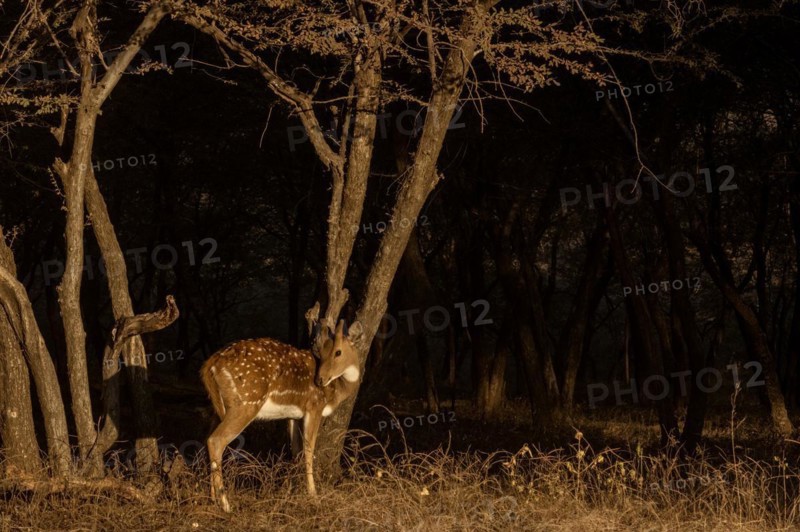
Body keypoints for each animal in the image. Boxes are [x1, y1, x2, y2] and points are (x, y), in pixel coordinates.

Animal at [199, 316, 363, 512]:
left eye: (337, 352)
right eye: (322, 353)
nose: (320, 379)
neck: (336, 390)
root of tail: (210, 365)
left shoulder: (294, 415)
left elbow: (296, 450)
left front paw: (289, 491)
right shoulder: (314, 406)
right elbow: (309, 450)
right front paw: (313, 495)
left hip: (219, 407)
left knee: (207, 438)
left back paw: (212, 498)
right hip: (246, 402)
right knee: (216, 440)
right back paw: (225, 504)